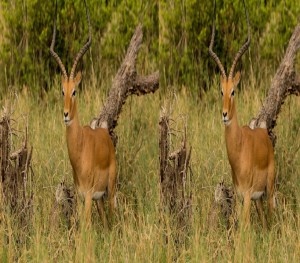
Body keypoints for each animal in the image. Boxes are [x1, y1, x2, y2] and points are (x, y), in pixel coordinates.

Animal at [49, 0, 116, 229]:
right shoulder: (80, 197)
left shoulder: (87, 197)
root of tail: (104, 133)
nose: (65, 114)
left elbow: (86, 229)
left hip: (110, 191)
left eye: (75, 91)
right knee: (106, 222)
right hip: (99, 200)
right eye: (62, 91)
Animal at [209, 0, 274, 229]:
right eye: (221, 91)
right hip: (258, 200)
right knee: (264, 222)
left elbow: (245, 229)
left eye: (234, 91)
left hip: (269, 190)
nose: (224, 114)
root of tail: (263, 133)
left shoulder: (246, 196)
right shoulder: (239, 197)